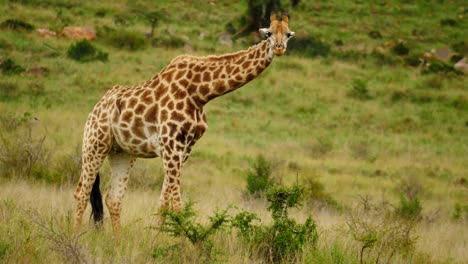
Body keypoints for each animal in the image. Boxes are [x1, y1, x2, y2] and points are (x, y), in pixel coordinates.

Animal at [73, 13, 294, 232]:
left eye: (288, 34)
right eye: (268, 33)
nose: (279, 48)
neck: (200, 93)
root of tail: (95, 109)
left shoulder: (184, 149)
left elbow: (163, 204)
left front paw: (159, 238)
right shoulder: (170, 145)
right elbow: (178, 205)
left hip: (123, 153)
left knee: (113, 199)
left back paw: (117, 239)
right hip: (95, 144)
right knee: (81, 193)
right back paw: (75, 235)